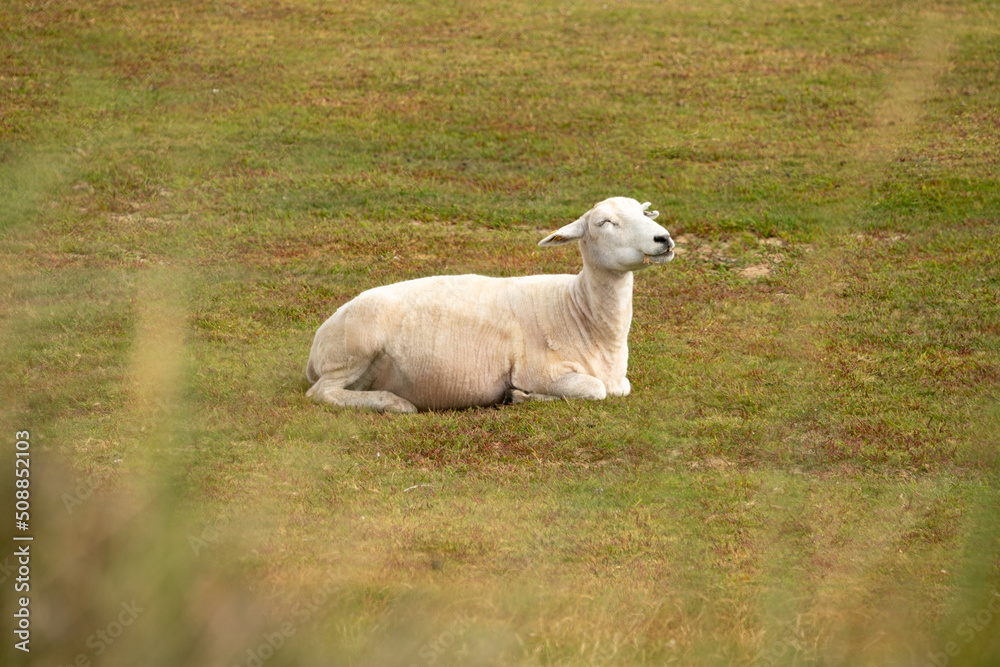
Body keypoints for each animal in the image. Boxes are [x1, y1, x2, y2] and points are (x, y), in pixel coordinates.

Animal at [305, 196, 675, 413]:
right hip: (353, 349)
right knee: (323, 393)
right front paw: (520, 396)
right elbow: (595, 389)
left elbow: (621, 388)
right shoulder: (543, 372)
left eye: (644, 213)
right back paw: (395, 403)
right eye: (604, 223)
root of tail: (318, 343)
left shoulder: (620, 381)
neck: (578, 312)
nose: (665, 239)